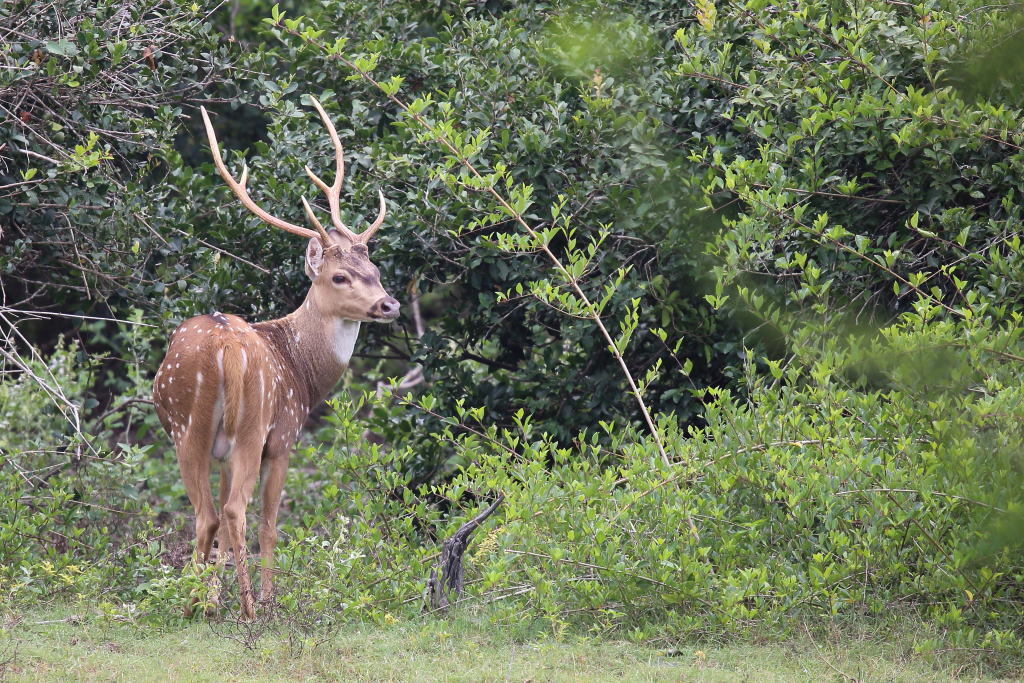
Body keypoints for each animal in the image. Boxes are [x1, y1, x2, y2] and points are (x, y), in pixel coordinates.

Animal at [152, 97, 400, 620]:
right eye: (340, 276)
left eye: (374, 268)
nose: (389, 305)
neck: (303, 372)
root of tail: (227, 349)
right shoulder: (285, 436)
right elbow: (269, 523)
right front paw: (266, 598)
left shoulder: (226, 452)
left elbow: (226, 533)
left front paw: (214, 595)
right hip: (250, 423)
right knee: (231, 512)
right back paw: (247, 610)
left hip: (190, 426)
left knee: (209, 514)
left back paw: (195, 604)